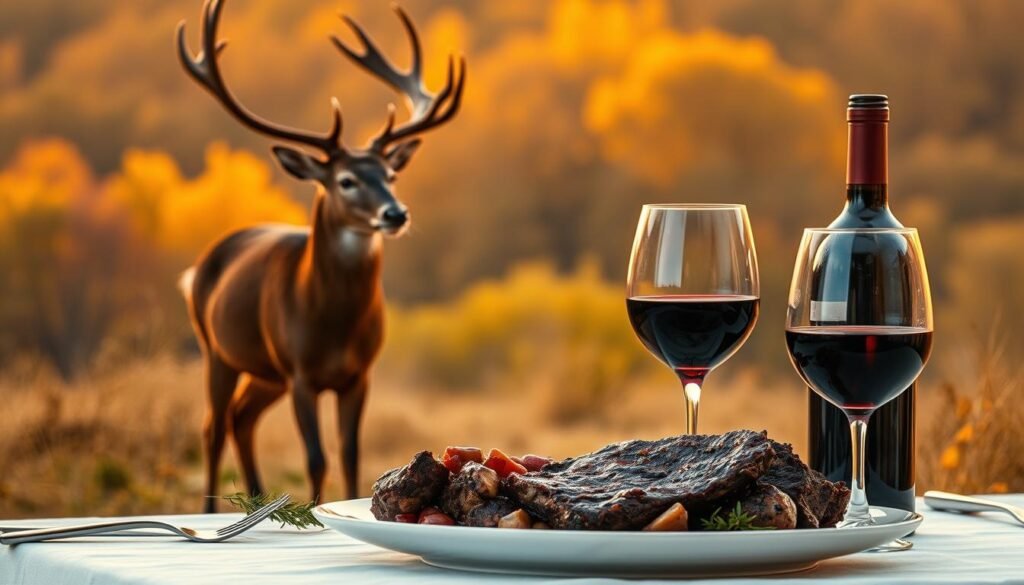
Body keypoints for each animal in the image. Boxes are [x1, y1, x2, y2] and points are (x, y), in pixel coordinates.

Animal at [175, 0, 465, 512]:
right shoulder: (301, 372)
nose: (396, 213)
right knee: (213, 426)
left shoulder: (358, 374)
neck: (333, 325)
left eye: (391, 174)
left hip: (265, 372)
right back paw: (210, 509)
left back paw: (256, 500)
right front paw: (315, 510)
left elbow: (350, 454)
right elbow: (316, 458)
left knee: (241, 418)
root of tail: (198, 267)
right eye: (345, 180)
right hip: (217, 349)